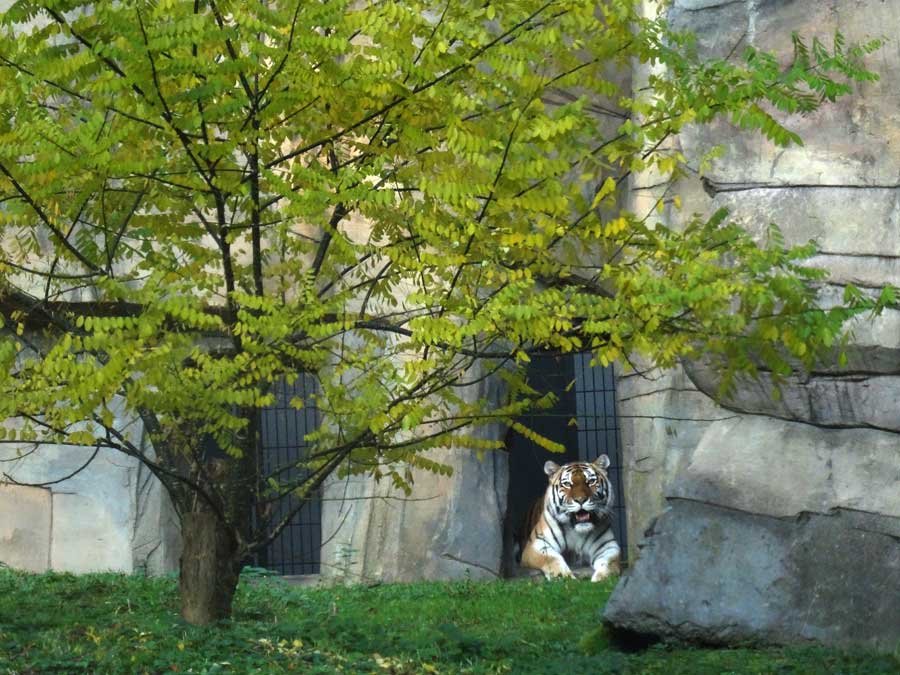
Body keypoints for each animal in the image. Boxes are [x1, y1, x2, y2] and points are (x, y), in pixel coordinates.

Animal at [516, 456, 624, 584]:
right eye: (567, 484)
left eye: (591, 481)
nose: (581, 500)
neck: (577, 530)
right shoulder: (537, 544)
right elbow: (552, 558)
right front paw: (564, 577)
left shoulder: (607, 546)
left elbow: (609, 563)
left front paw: (603, 577)